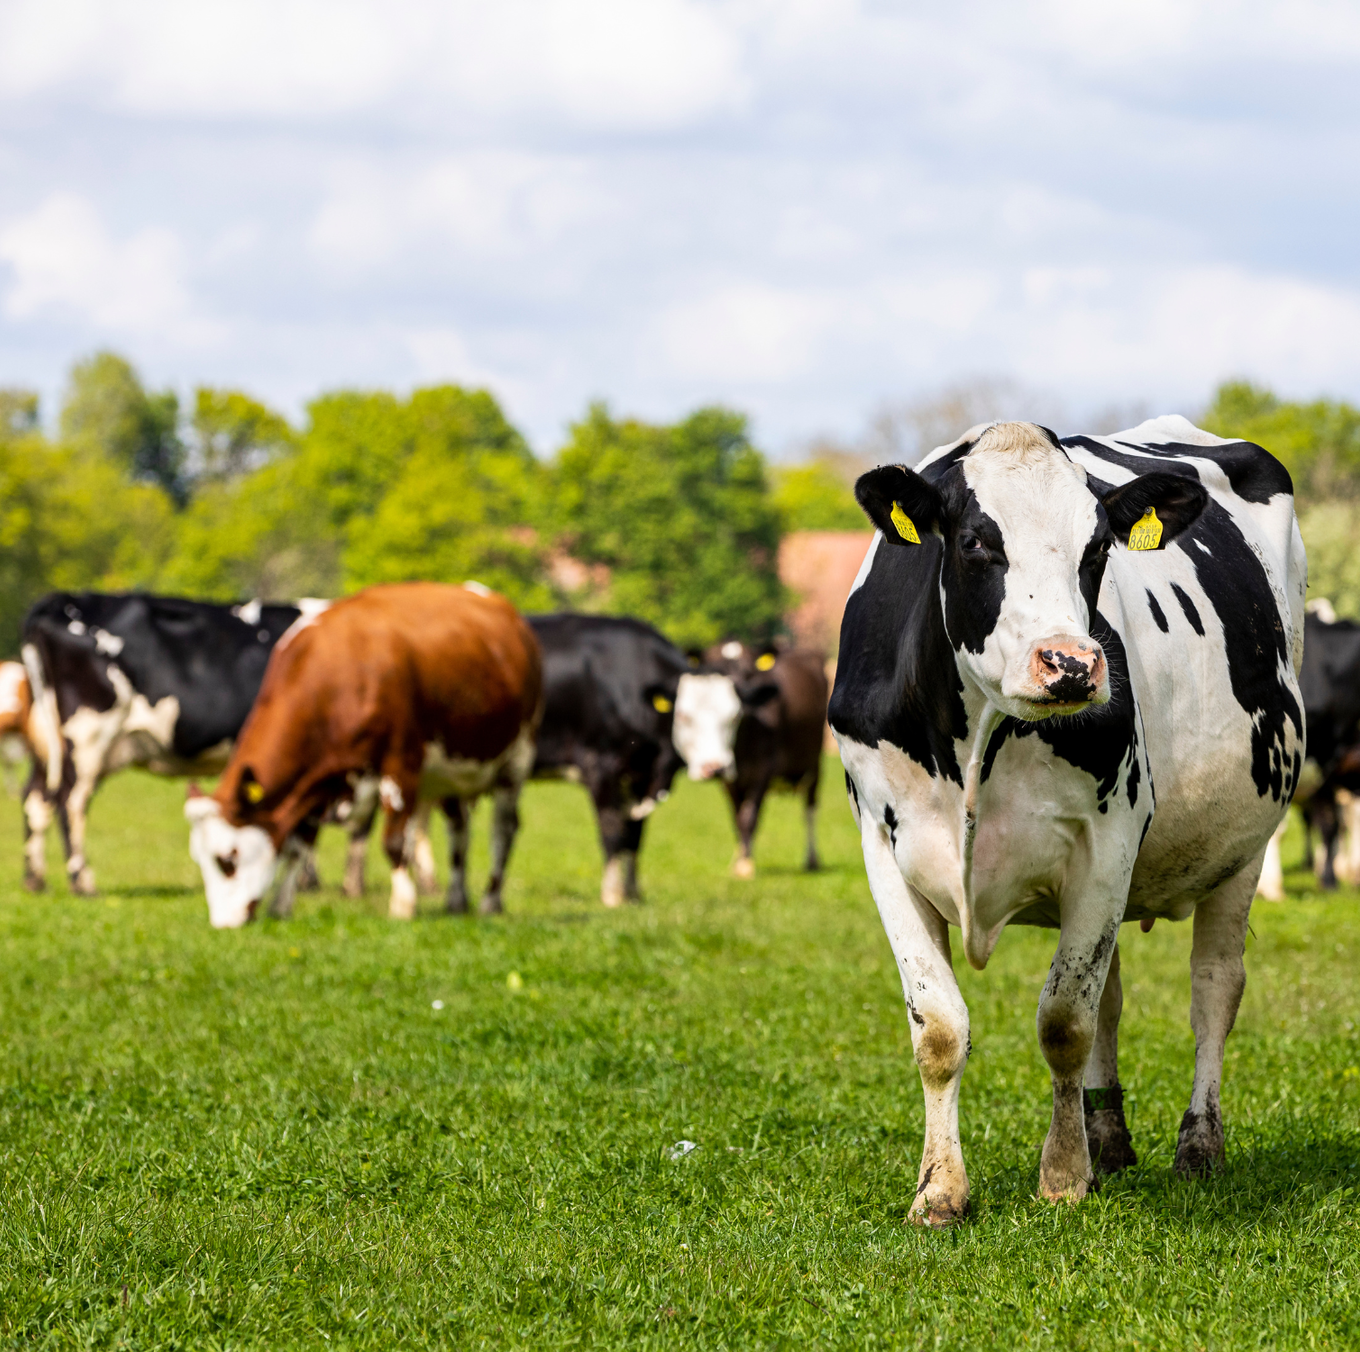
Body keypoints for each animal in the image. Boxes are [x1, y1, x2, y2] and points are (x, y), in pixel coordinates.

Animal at [20, 592, 314, 894]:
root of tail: (60, 600)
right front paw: (308, 881)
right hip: (88, 737)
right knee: (70, 801)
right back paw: (82, 882)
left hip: (49, 742)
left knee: (36, 798)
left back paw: (36, 879)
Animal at [185, 582, 542, 928]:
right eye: (200, 860)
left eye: (227, 860)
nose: (223, 924)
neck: (336, 672)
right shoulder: (318, 778)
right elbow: (300, 843)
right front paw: (281, 906)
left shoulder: (400, 762)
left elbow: (394, 841)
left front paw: (402, 906)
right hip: (451, 772)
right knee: (459, 831)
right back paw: (456, 901)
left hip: (516, 760)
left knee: (503, 831)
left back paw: (490, 901)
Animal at [671, 640, 828, 877]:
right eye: (685, 716)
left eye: (734, 716)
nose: (713, 768)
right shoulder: (729, 779)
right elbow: (737, 818)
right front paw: (739, 860)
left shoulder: (764, 770)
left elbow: (749, 816)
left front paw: (745, 866)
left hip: (814, 765)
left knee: (810, 808)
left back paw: (812, 859)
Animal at [829, 417, 1304, 1224]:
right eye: (974, 542)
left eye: (1096, 549)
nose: (1072, 664)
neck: (976, 742)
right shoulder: (882, 842)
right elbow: (940, 1027)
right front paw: (939, 1191)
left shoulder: (1109, 838)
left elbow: (1064, 1021)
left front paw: (1061, 1176)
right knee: (1111, 992)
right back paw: (1107, 1138)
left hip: (1246, 847)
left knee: (1213, 988)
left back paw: (1198, 1146)